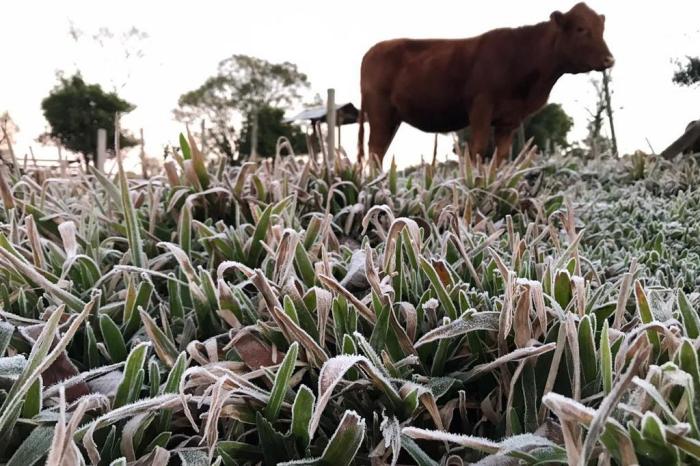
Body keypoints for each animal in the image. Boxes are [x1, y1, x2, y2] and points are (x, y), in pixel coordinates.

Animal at [360, 0, 612, 168]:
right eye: (581, 29)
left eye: (601, 30)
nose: (609, 60)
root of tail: (374, 49)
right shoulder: (481, 107)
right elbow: (478, 150)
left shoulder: (509, 119)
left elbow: (501, 155)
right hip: (380, 112)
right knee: (375, 151)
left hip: (392, 118)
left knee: (379, 151)